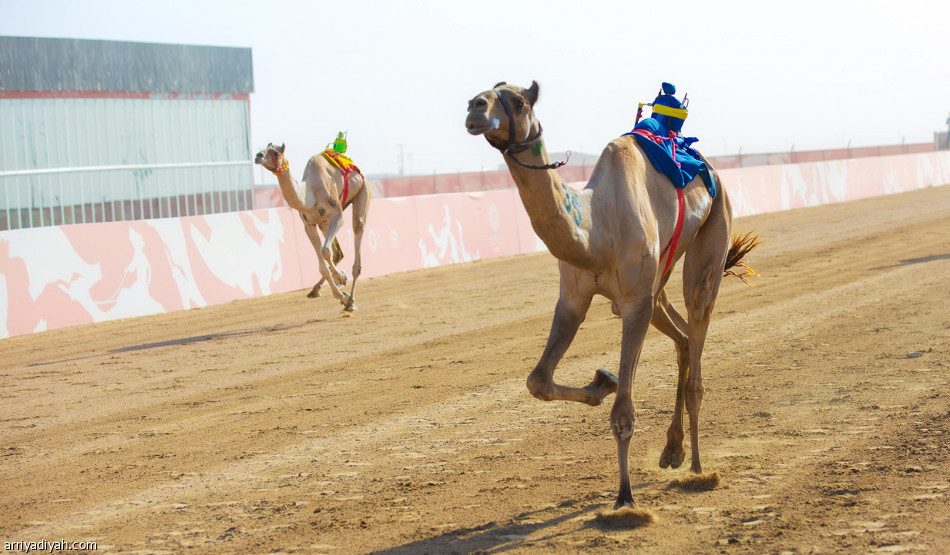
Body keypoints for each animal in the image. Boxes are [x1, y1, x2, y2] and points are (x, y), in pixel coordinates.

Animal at [255, 142, 370, 312]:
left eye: (275, 152)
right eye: (264, 148)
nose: (258, 156)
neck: (308, 195)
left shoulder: (337, 215)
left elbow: (325, 251)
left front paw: (342, 279)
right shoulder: (308, 225)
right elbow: (323, 264)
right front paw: (341, 292)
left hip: (363, 191)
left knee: (357, 228)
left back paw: (350, 301)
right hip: (324, 224)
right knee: (338, 253)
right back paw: (318, 290)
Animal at [464, 80, 764, 510]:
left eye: (519, 101)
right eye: (485, 92)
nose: (475, 108)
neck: (596, 229)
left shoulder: (634, 301)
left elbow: (623, 414)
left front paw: (625, 499)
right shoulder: (574, 298)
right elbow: (539, 381)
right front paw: (602, 382)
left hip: (713, 228)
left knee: (697, 315)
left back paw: (697, 467)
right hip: (659, 281)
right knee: (682, 337)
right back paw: (672, 450)